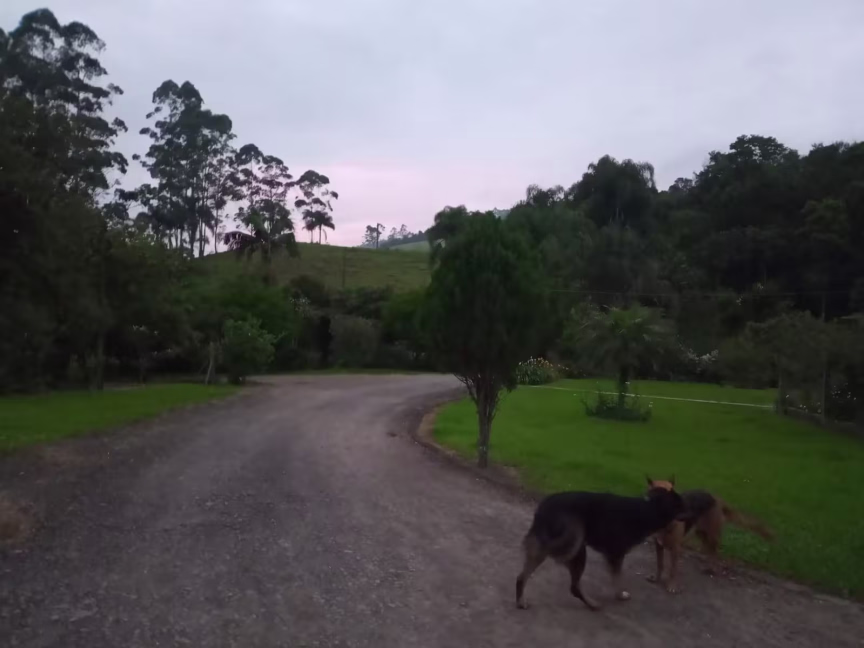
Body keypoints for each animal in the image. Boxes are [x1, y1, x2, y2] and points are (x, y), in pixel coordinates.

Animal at [515, 479, 686, 610]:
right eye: (681, 505)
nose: (690, 512)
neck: (649, 508)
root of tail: (543, 508)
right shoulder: (616, 554)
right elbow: (617, 578)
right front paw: (620, 595)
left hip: (555, 547)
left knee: (523, 576)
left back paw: (521, 601)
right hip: (573, 544)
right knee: (573, 585)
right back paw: (592, 604)